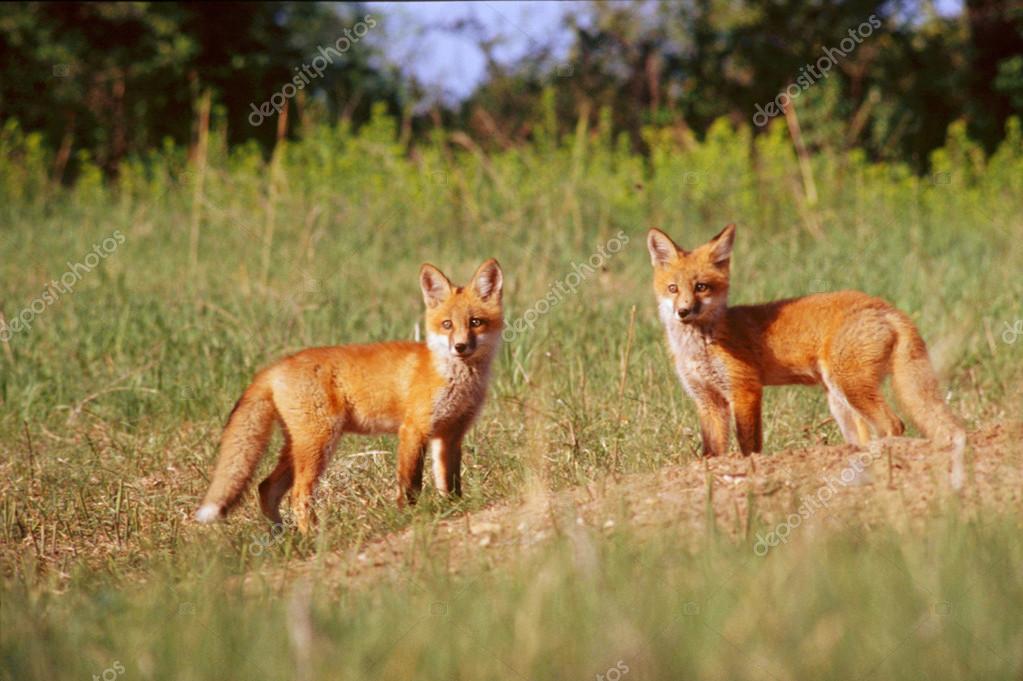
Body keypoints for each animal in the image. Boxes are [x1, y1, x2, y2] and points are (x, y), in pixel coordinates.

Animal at [194, 259, 504, 532]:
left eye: (476, 322)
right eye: (447, 324)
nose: (460, 347)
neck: (453, 377)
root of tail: (275, 366)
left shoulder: (450, 435)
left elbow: (449, 482)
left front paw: (453, 509)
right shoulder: (413, 430)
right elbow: (411, 484)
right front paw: (409, 518)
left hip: (299, 446)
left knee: (266, 488)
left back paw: (282, 538)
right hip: (319, 443)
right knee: (297, 495)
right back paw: (312, 537)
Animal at [646, 224, 966, 488]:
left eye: (701, 287)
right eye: (673, 288)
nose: (683, 312)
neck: (700, 345)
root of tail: (884, 306)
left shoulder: (745, 389)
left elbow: (749, 446)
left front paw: (752, 468)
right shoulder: (708, 401)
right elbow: (712, 451)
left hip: (851, 387)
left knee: (893, 424)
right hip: (839, 401)